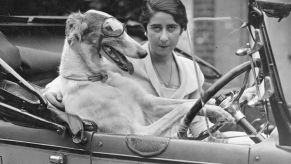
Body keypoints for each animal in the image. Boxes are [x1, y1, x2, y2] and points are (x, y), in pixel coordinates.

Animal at [58, 10, 208, 137]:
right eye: (110, 29)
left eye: (123, 28)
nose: (144, 53)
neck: (98, 78)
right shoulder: (136, 132)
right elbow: (183, 106)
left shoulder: (150, 102)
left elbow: (190, 101)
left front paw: (212, 107)